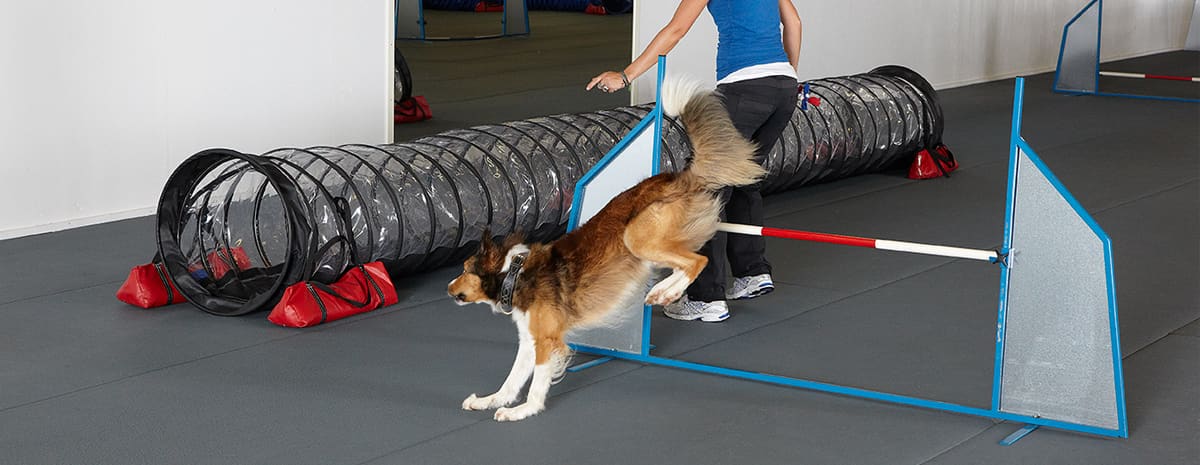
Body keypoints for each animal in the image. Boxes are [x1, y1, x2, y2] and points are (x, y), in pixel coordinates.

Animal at [446, 79, 763, 421]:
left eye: (465, 270)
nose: (448, 288)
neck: (514, 274)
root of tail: (679, 176)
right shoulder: (530, 341)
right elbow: (511, 381)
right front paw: (489, 401)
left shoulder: (547, 341)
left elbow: (535, 385)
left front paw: (523, 411)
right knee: (692, 260)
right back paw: (665, 292)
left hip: (636, 236)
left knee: (698, 260)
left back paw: (663, 292)